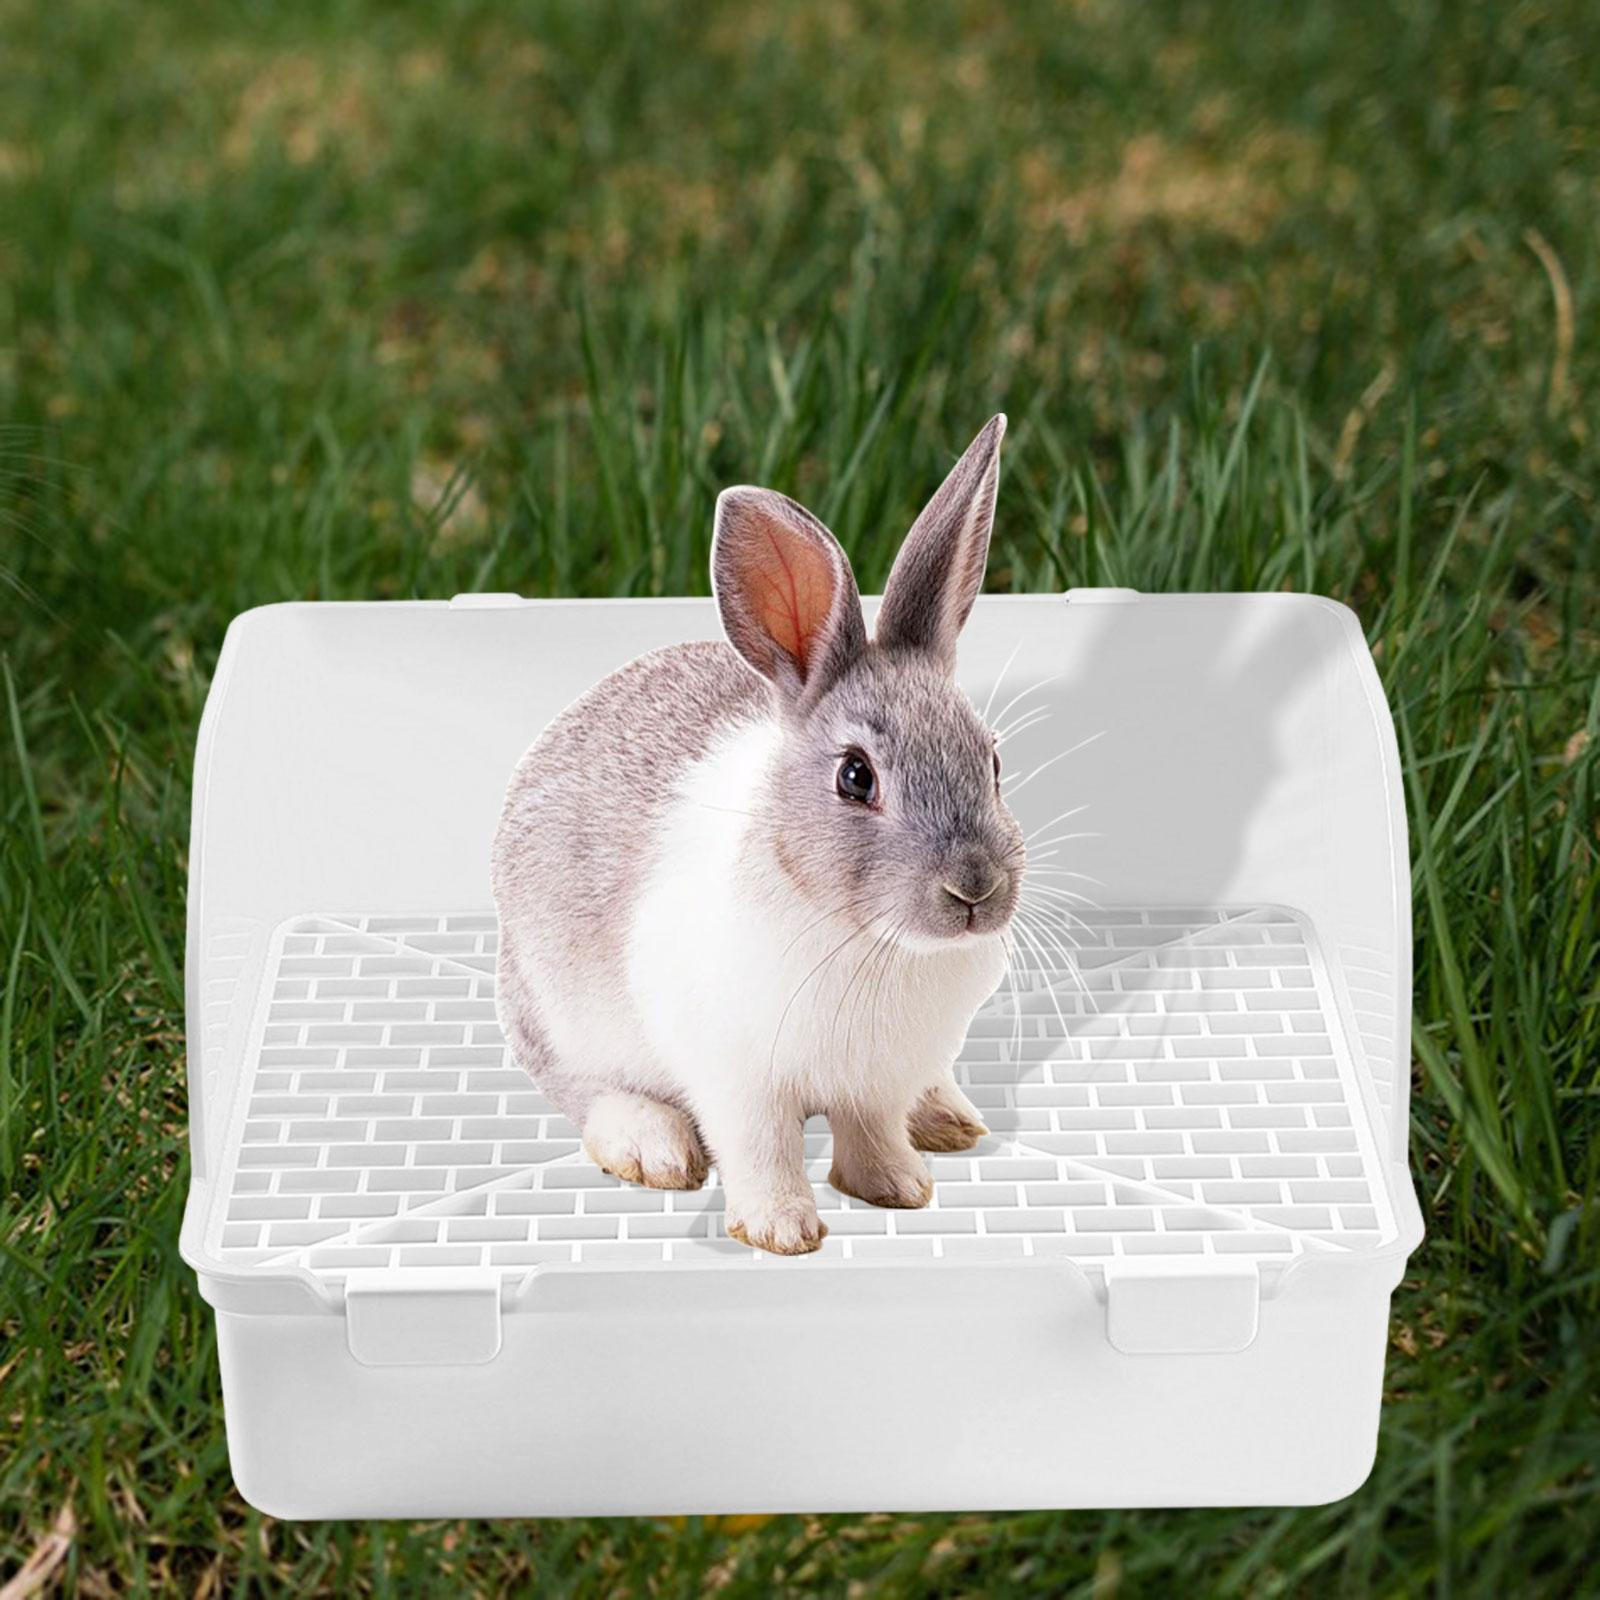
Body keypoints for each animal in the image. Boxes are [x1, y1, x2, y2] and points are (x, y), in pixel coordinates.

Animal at [491, 415, 1024, 1254]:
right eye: (855, 777)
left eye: (994, 761)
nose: (975, 889)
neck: (870, 941)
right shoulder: (737, 1077)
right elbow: (761, 1147)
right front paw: (782, 1232)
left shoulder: (876, 1080)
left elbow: (871, 1131)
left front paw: (898, 1188)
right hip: (556, 1012)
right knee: (584, 1088)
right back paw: (653, 1146)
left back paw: (946, 1118)